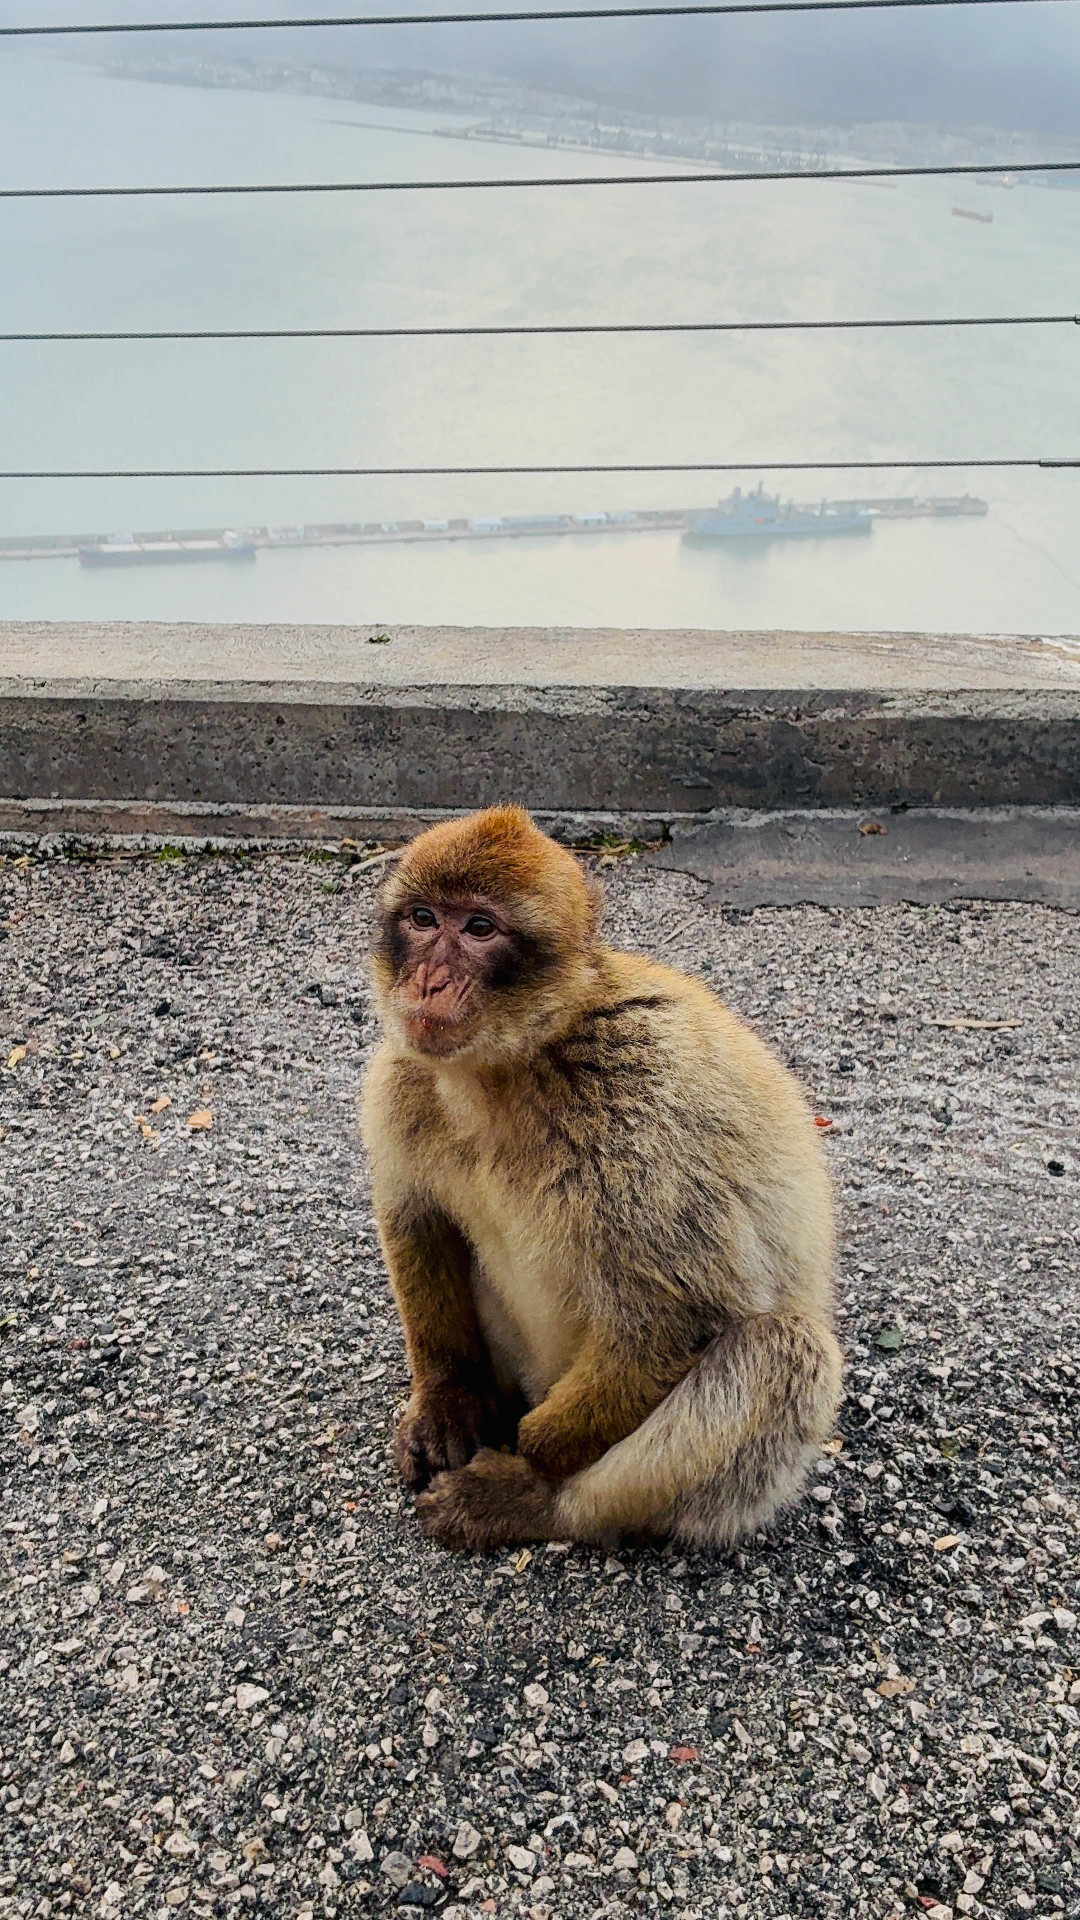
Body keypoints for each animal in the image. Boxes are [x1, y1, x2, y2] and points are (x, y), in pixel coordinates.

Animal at [360, 805, 841, 1552]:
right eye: (422, 918)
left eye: (479, 928)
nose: (429, 981)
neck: (503, 1071)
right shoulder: (401, 1076)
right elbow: (417, 1219)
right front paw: (449, 1398)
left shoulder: (638, 1107)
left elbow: (677, 1314)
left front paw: (536, 1451)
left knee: (784, 1353)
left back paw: (535, 1502)